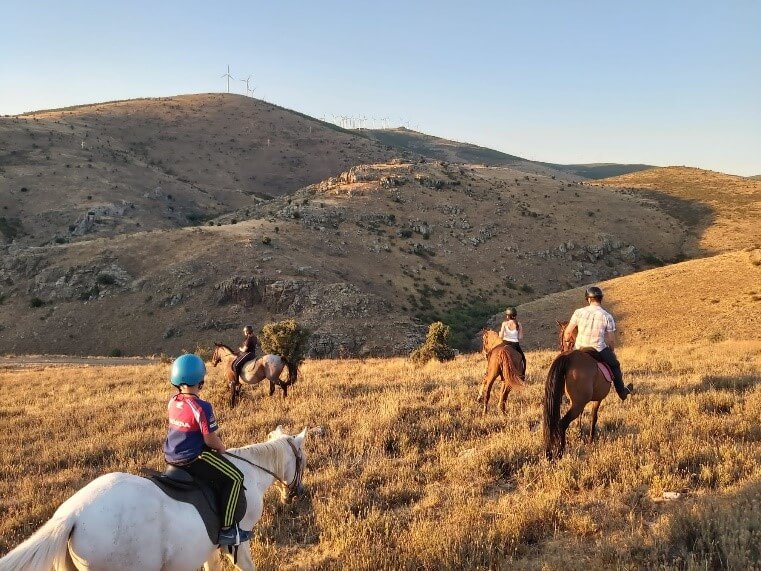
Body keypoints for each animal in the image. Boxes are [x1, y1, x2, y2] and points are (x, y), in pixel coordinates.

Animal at [0, 428, 308, 571]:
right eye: (302, 459)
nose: (294, 494)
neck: (250, 471)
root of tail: (73, 515)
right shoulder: (240, 537)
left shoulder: (209, 545)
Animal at [544, 322, 616, 460]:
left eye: (564, 338)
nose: (562, 348)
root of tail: (569, 357)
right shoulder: (598, 399)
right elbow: (594, 416)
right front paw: (591, 439)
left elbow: (582, 416)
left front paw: (580, 432)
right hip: (578, 403)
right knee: (562, 423)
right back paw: (560, 452)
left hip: (572, 401)